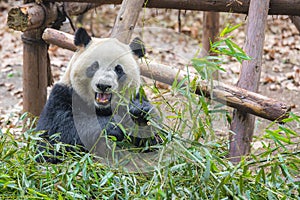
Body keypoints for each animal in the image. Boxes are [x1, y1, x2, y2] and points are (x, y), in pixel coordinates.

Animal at [36, 28, 163, 166]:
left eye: (118, 69)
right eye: (95, 66)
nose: (103, 85)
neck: (101, 108)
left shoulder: (136, 95)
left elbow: (155, 138)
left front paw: (139, 113)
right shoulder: (63, 96)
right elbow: (54, 136)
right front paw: (114, 125)